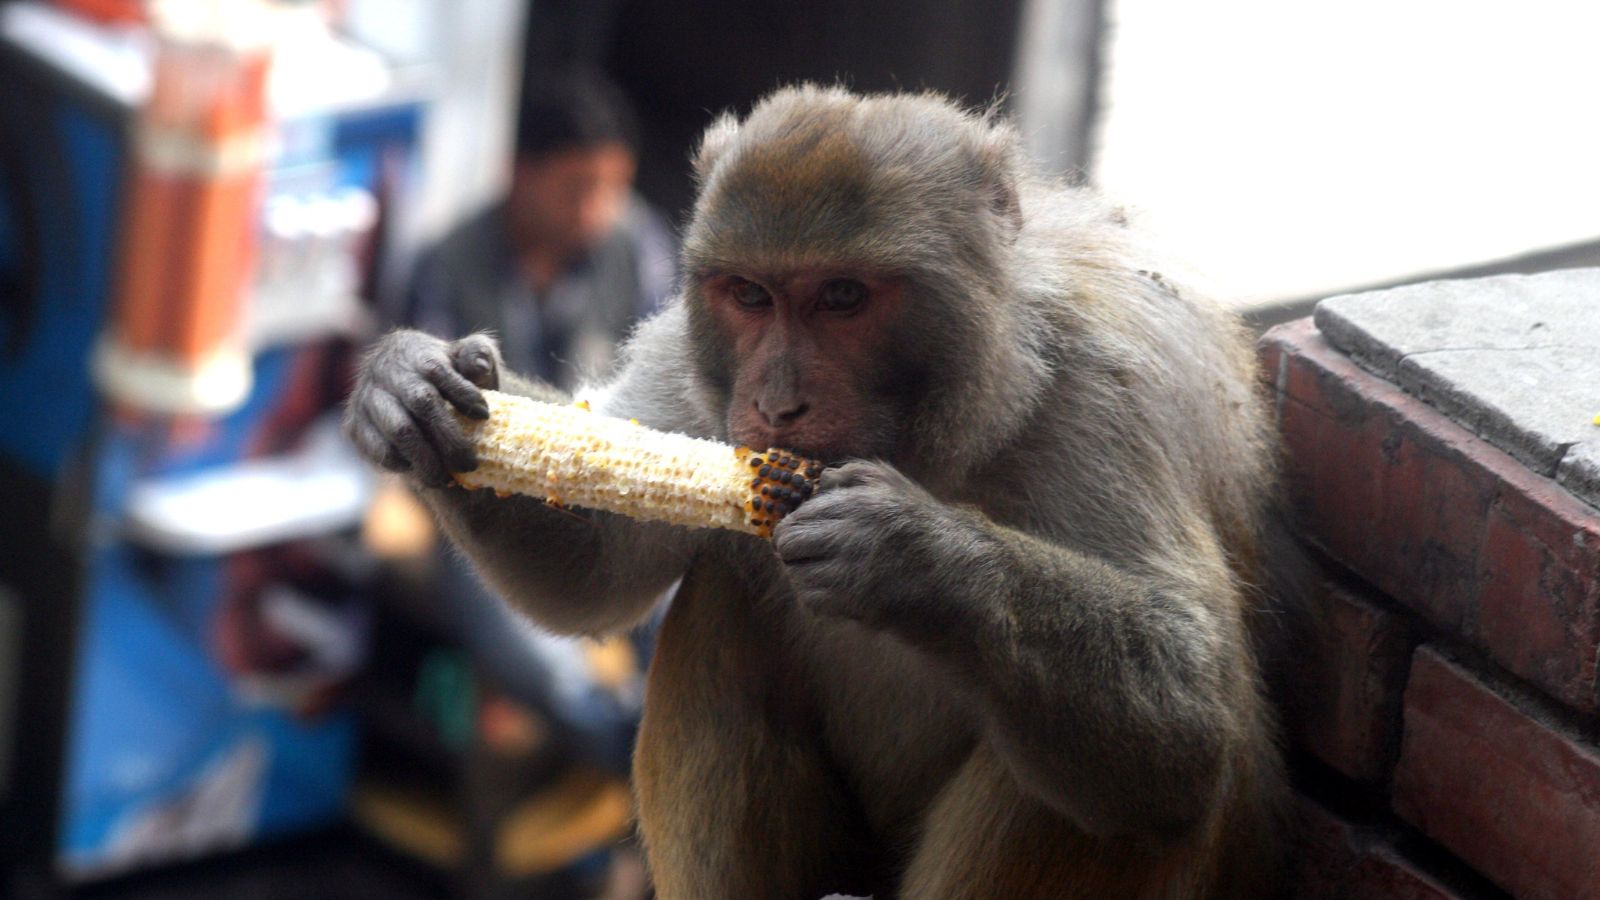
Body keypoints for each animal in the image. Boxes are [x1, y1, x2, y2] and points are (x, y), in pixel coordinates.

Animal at [345, 85, 1289, 898]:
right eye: (750, 295)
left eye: (842, 297)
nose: (776, 403)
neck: (941, 446)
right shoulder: (696, 376)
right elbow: (597, 567)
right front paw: (410, 386)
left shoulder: (1106, 393)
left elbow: (1192, 721)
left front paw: (911, 555)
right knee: (723, 601)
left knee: (1102, 796)